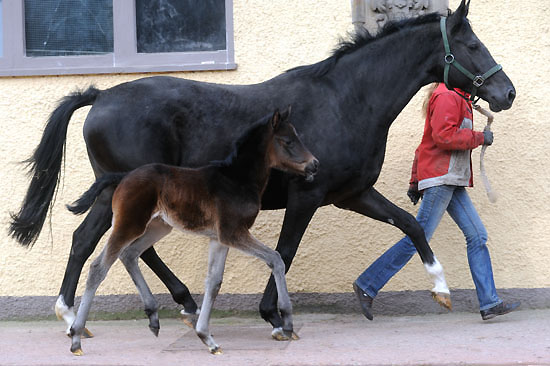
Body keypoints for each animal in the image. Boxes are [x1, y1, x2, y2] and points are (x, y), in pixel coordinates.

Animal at [68, 108, 320, 354]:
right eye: (287, 141)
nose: (314, 164)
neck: (237, 179)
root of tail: (123, 176)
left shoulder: (220, 238)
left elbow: (214, 281)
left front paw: (206, 337)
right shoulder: (233, 232)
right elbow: (276, 258)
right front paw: (286, 322)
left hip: (158, 226)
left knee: (129, 254)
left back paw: (153, 317)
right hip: (129, 223)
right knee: (99, 267)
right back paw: (76, 336)